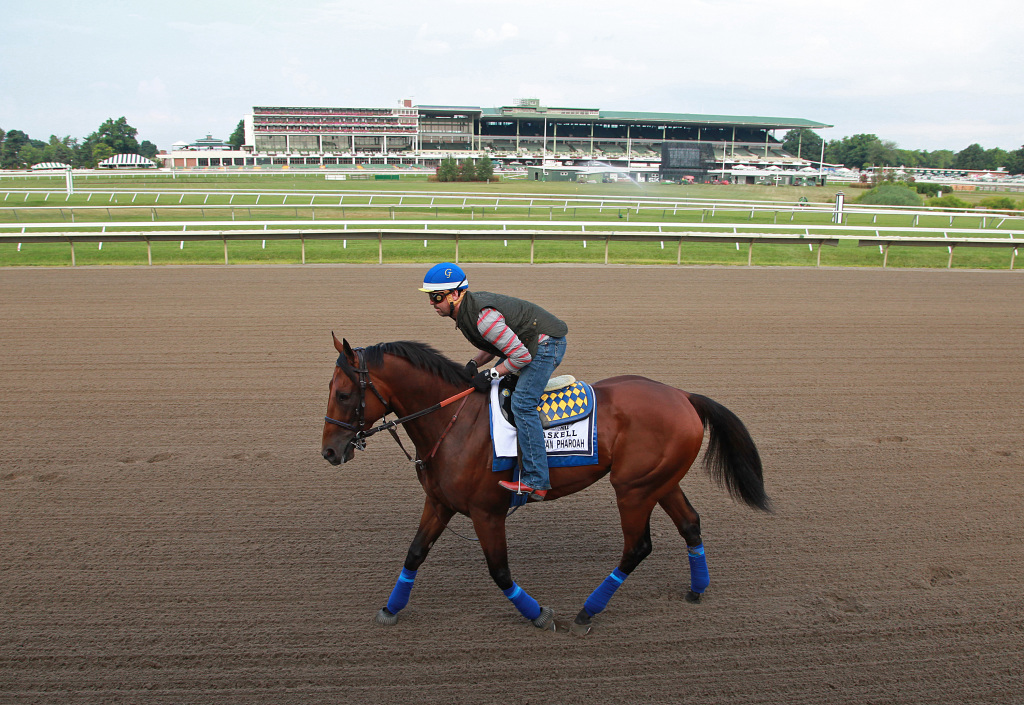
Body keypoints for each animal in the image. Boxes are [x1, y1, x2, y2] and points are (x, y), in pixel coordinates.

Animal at [319, 334, 770, 635]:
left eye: (342, 394)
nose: (329, 451)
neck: (453, 423)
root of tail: (683, 396)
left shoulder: (487, 512)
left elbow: (500, 571)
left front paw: (539, 614)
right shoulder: (440, 502)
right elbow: (414, 554)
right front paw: (390, 609)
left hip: (633, 490)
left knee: (637, 547)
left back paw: (587, 612)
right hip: (659, 481)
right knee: (691, 524)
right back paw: (697, 589)